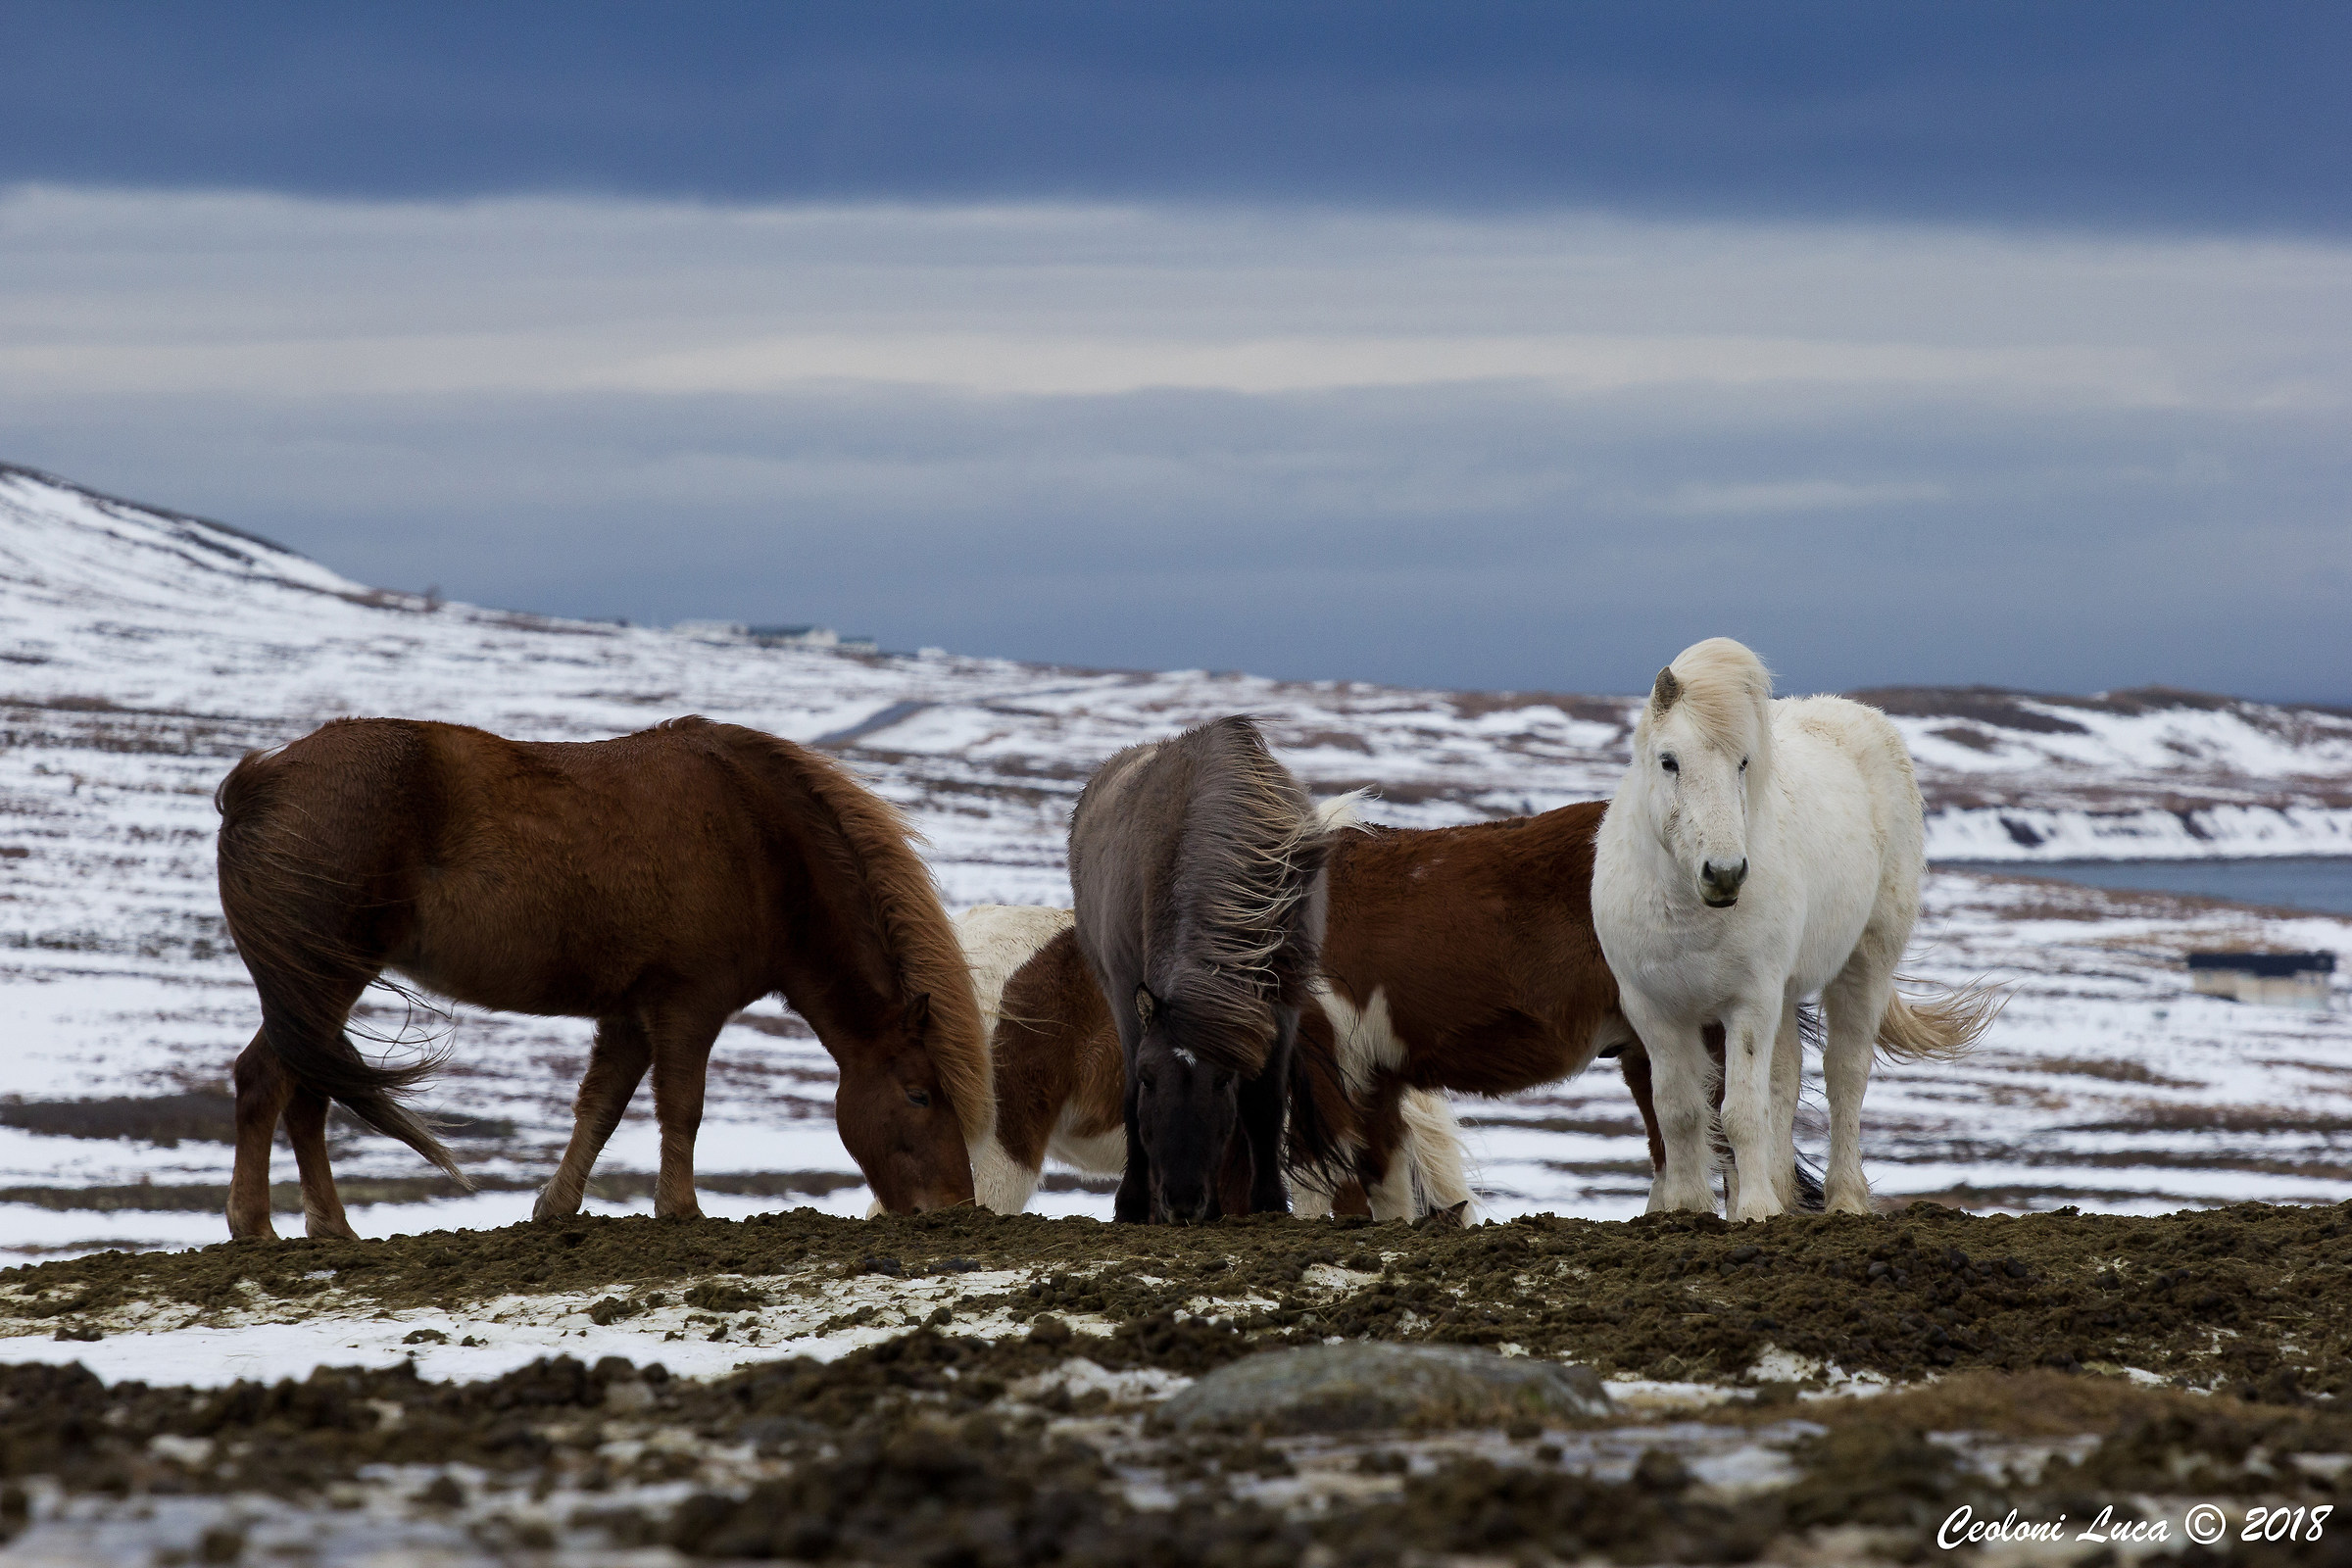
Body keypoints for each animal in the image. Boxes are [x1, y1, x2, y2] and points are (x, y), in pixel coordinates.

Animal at [212, 715, 990, 1240]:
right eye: (920, 1094)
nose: (957, 1208)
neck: (761, 841)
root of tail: (259, 782)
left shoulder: (629, 1015)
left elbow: (601, 1107)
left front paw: (555, 1208)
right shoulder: (686, 1005)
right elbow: (682, 1107)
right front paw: (681, 1210)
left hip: (314, 992)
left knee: (303, 1094)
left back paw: (331, 1229)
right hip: (322, 978)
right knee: (268, 1082)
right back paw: (257, 1226)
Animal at [1067, 715, 1329, 1223]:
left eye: (1223, 1079)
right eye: (1150, 1078)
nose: (1184, 1201)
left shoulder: (1280, 1001)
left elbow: (1264, 1103)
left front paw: (1270, 1203)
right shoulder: (1128, 995)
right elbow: (1128, 1100)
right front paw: (1132, 1204)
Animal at [1592, 637, 2001, 1221]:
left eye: (1744, 762)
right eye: (1669, 761)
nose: (1724, 873)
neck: (1689, 912)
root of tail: (1862, 716)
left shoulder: (1749, 1002)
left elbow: (1741, 1110)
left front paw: (1755, 1210)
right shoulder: (1654, 1010)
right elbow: (1679, 1110)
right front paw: (1688, 1211)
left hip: (1861, 965)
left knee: (1844, 1074)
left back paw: (1844, 1198)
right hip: (1783, 997)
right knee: (1785, 1079)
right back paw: (1785, 1194)